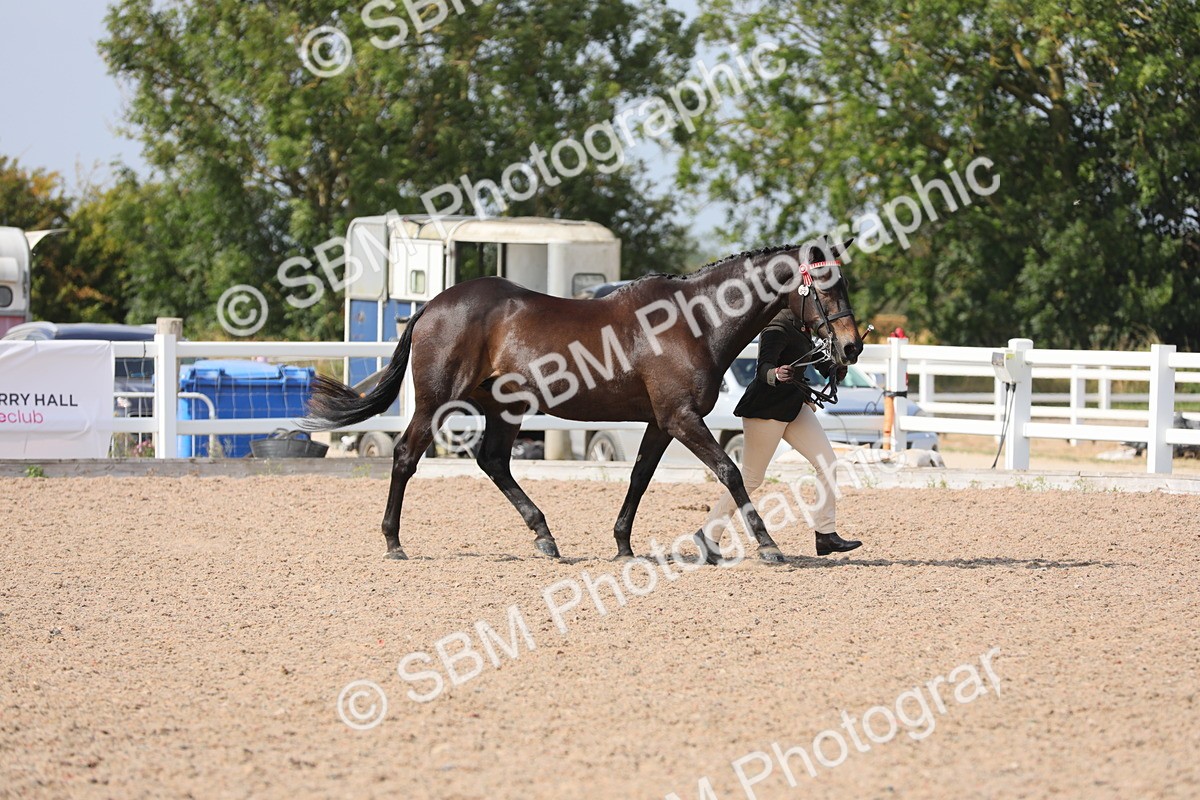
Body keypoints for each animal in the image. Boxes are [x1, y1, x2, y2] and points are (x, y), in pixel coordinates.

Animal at [303, 240, 863, 563]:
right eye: (826, 286)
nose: (852, 347)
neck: (694, 322)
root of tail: (432, 305)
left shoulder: (662, 422)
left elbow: (639, 477)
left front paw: (623, 545)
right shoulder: (681, 418)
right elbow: (730, 472)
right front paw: (769, 546)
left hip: (503, 408)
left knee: (494, 462)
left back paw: (544, 537)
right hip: (438, 401)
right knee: (405, 456)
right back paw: (394, 542)